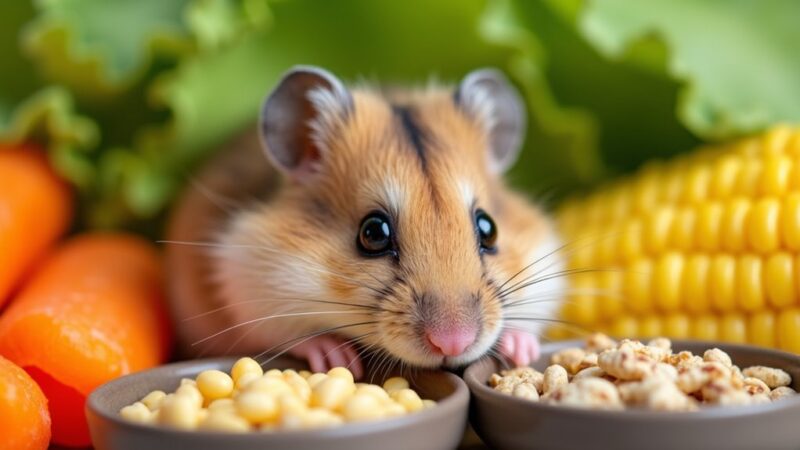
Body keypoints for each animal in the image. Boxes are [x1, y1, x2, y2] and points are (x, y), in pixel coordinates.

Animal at [166, 66, 566, 377]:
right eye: (373, 233)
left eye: (488, 228)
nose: (453, 342)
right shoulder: (248, 287)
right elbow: (292, 333)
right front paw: (335, 356)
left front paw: (521, 348)